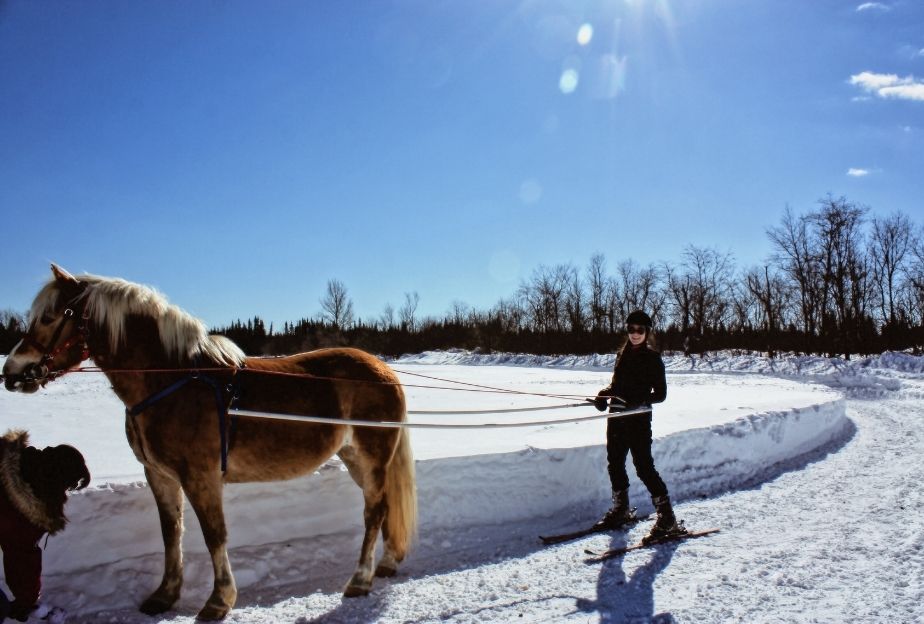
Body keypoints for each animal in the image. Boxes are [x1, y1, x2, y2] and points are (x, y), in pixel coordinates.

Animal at [1, 264, 416, 620]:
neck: (173, 380)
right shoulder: (160, 476)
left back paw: (360, 580)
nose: (12, 372)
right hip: (353, 458)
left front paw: (219, 600)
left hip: (372, 457)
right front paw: (165, 594)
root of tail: (383, 369)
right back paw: (386, 562)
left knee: (373, 512)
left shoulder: (201, 477)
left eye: (51, 317)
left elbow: (215, 534)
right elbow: (172, 533)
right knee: (383, 507)